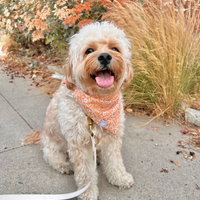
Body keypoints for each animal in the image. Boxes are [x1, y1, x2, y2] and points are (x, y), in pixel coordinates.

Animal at [25, 21, 134, 200]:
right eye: (89, 50)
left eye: (115, 48)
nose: (105, 56)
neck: (99, 101)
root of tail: (41, 137)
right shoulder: (79, 144)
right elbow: (86, 173)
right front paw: (88, 193)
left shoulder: (112, 139)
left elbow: (114, 162)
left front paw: (120, 178)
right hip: (53, 148)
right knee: (54, 159)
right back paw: (64, 166)